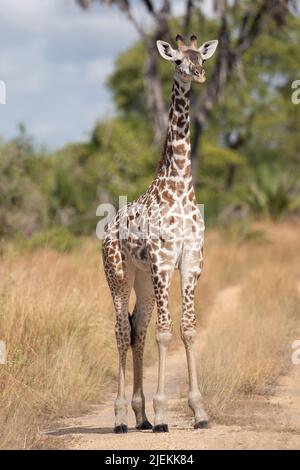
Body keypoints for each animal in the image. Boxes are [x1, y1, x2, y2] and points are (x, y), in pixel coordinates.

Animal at [101, 34, 218, 434]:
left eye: (201, 58)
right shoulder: (164, 261)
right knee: (121, 331)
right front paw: (165, 413)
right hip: (119, 275)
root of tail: (106, 232)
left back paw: (141, 416)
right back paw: (121, 417)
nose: (197, 74)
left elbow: (189, 329)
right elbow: (165, 332)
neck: (179, 185)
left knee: (136, 328)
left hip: (143, 280)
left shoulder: (192, 260)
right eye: (178, 60)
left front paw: (199, 412)